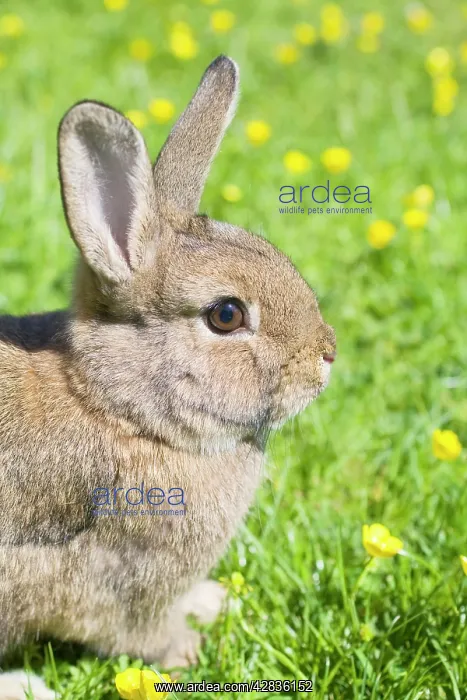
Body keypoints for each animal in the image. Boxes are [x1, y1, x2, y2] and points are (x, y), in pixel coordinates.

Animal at [0, 55, 336, 699]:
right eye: (226, 315)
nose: (326, 357)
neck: (120, 409)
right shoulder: (119, 585)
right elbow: (140, 632)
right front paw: (189, 649)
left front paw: (212, 603)